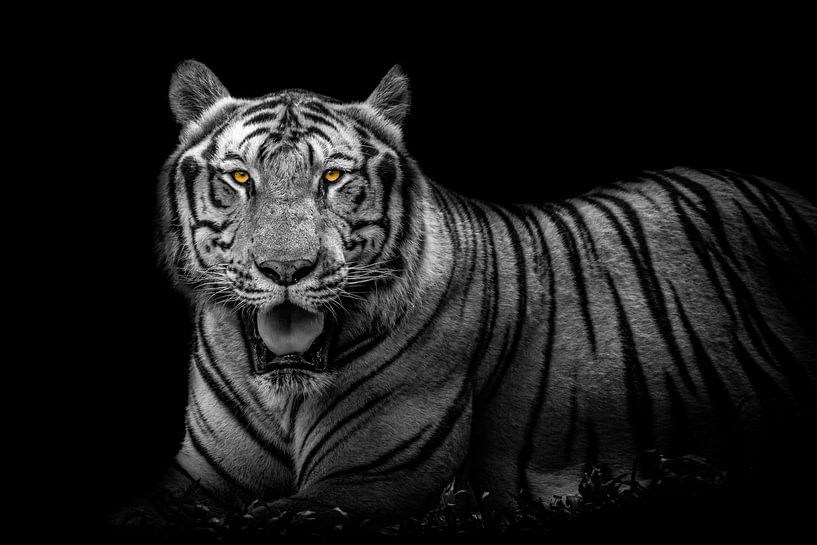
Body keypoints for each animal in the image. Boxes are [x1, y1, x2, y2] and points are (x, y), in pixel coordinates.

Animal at [131, 59, 817, 523]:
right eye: (240, 178)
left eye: (332, 177)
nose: (286, 270)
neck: (282, 392)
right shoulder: (199, 475)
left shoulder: (365, 483)